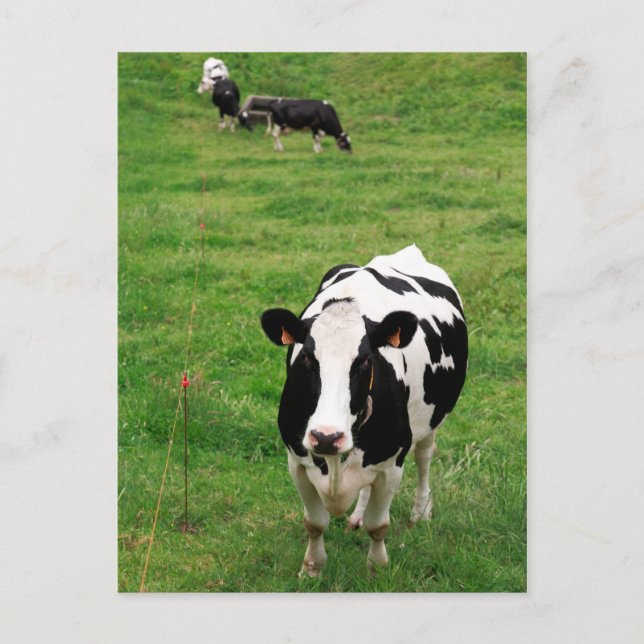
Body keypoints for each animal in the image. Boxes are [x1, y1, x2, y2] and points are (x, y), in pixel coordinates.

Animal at [260, 245, 468, 576]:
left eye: (365, 361)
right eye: (306, 357)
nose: (326, 437)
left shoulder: (392, 462)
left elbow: (378, 525)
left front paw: (377, 569)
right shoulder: (297, 460)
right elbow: (314, 522)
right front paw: (312, 568)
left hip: (430, 421)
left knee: (424, 458)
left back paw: (421, 511)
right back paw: (356, 515)